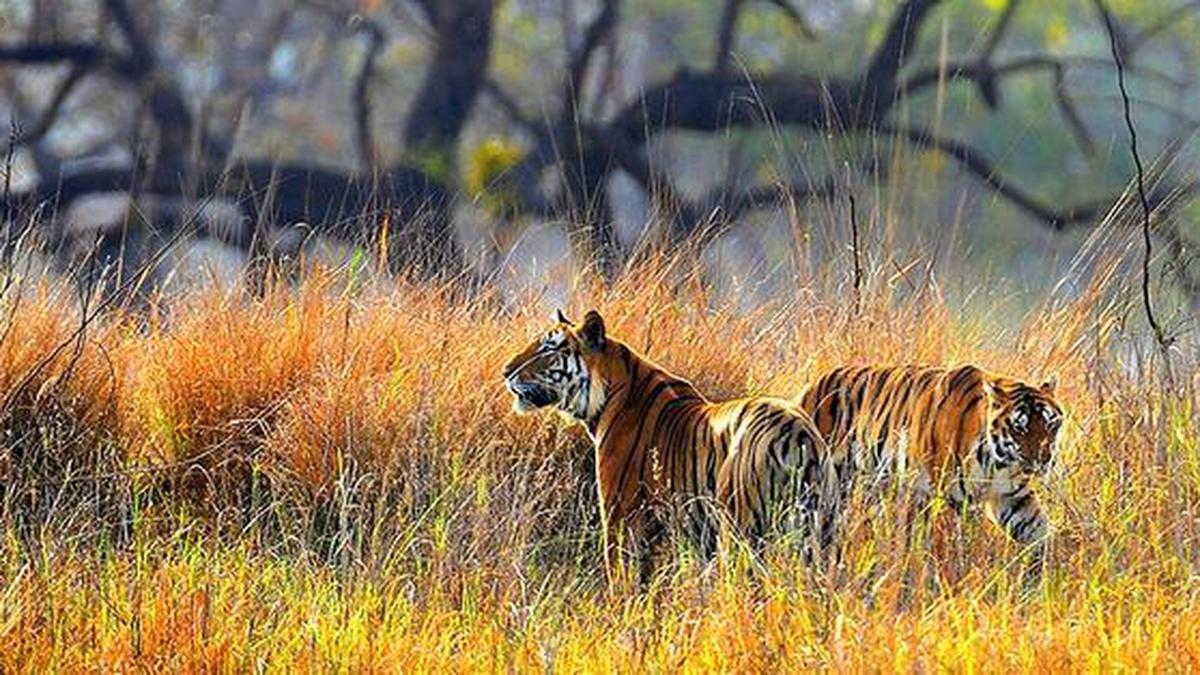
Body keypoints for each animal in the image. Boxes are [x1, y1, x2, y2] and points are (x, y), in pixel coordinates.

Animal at [503, 309, 834, 584]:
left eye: (548, 348)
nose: (505, 371)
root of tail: (796, 431)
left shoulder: (620, 516)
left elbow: (622, 580)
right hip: (823, 530)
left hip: (742, 526)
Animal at [797, 364, 1064, 581]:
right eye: (1020, 427)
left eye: (1051, 424)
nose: (1044, 459)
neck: (997, 462)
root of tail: (811, 386)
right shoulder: (935, 496)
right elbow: (938, 544)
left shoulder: (1012, 497)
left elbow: (1039, 531)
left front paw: (1041, 577)